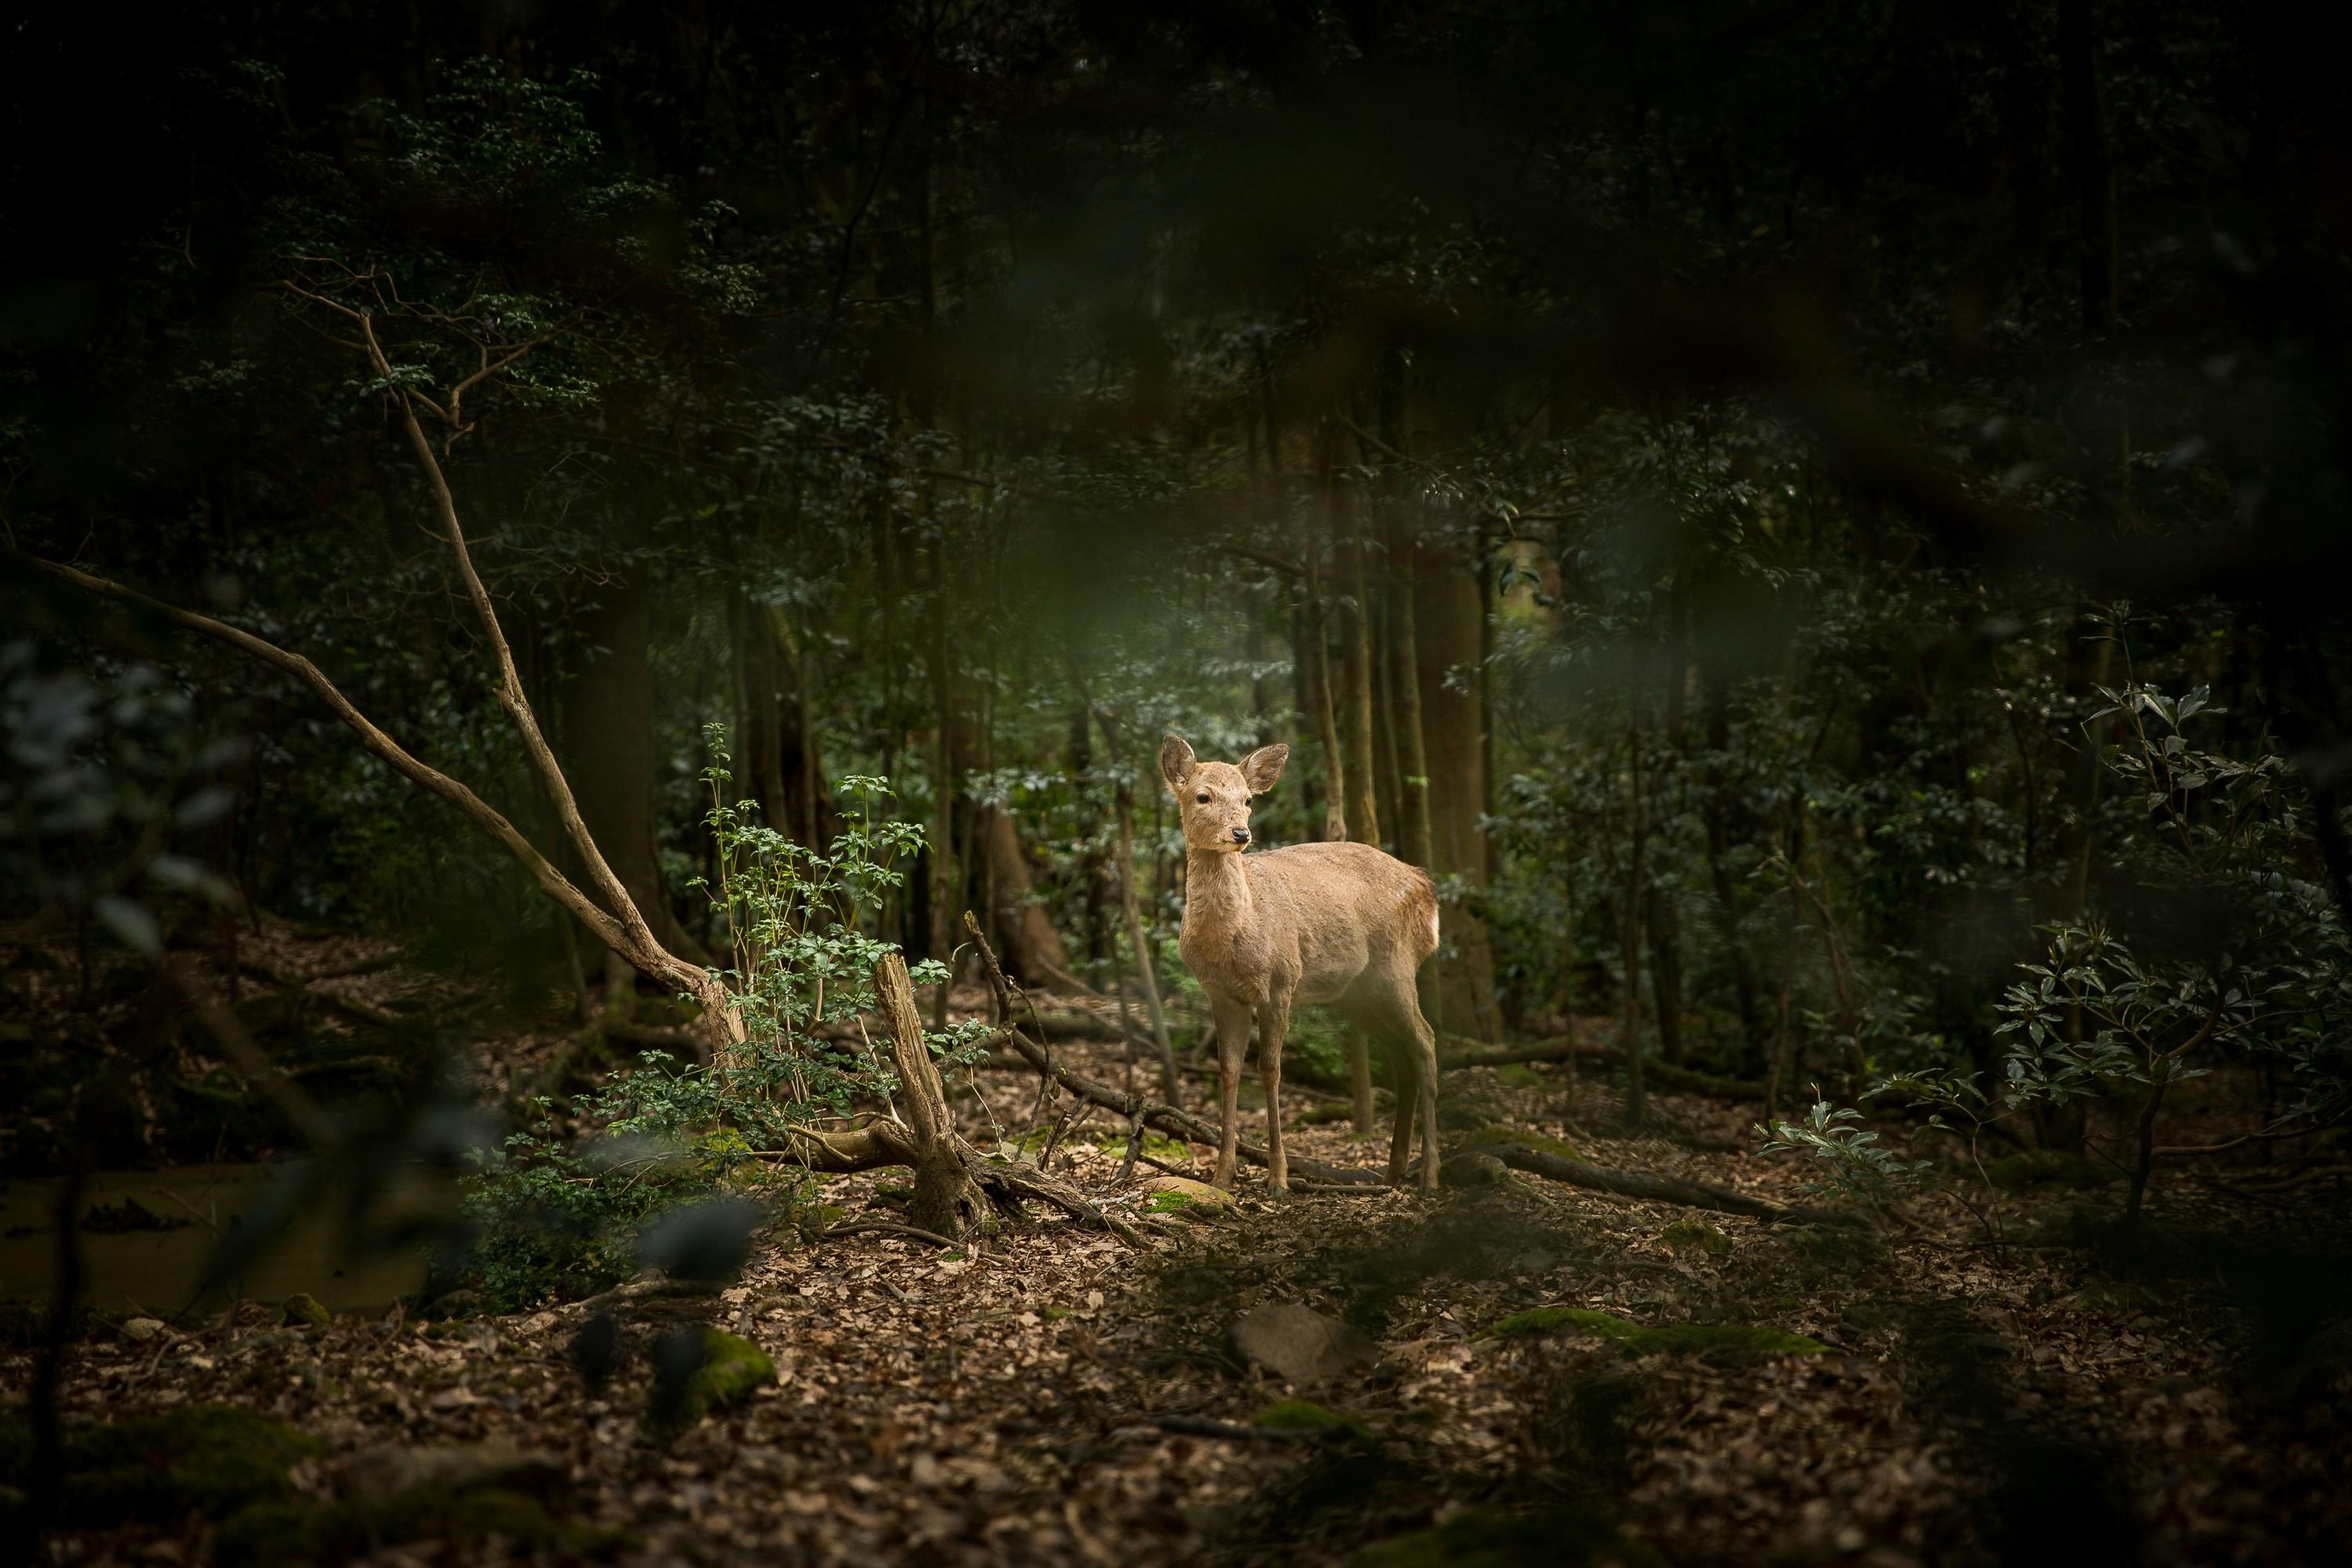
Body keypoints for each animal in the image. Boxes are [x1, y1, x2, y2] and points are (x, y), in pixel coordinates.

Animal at [1162, 733, 1449, 1189]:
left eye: (1248, 799)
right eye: (1203, 796)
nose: (1241, 833)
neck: (1237, 934)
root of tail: (1427, 887)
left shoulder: (1281, 981)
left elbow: (1270, 1069)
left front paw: (1278, 1177)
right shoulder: (1221, 993)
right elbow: (1229, 1070)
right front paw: (1222, 1175)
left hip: (1397, 966)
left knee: (1425, 1041)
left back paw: (1430, 1176)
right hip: (1358, 993)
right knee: (1401, 1055)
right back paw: (1394, 1169)